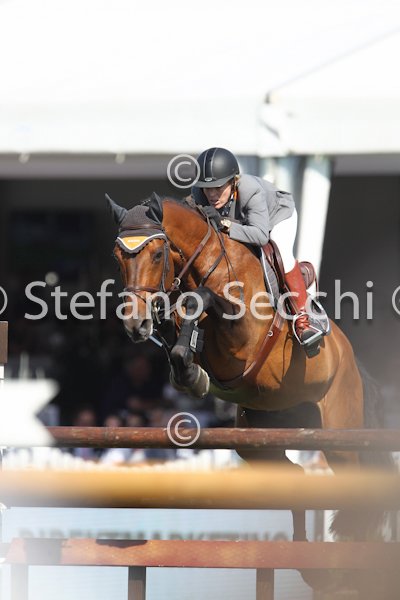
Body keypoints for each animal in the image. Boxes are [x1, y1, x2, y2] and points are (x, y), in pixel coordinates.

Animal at [107, 192, 392, 565]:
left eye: (157, 254)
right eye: (117, 259)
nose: (135, 325)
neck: (208, 262)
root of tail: (352, 360)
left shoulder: (244, 335)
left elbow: (203, 300)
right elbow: (184, 337)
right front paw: (190, 372)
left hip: (339, 435)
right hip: (259, 438)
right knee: (295, 475)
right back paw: (297, 549)